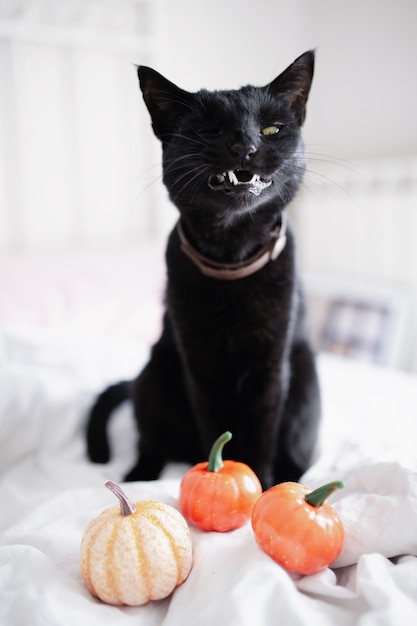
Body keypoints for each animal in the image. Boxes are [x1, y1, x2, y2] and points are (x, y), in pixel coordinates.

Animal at [86, 50, 320, 488]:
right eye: (211, 131)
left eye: (271, 129)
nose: (245, 147)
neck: (232, 255)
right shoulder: (200, 366)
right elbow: (216, 426)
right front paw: (220, 468)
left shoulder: (270, 367)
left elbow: (261, 436)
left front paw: (261, 485)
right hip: (154, 374)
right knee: (150, 443)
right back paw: (136, 478)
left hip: (306, 388)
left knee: (298, 455)